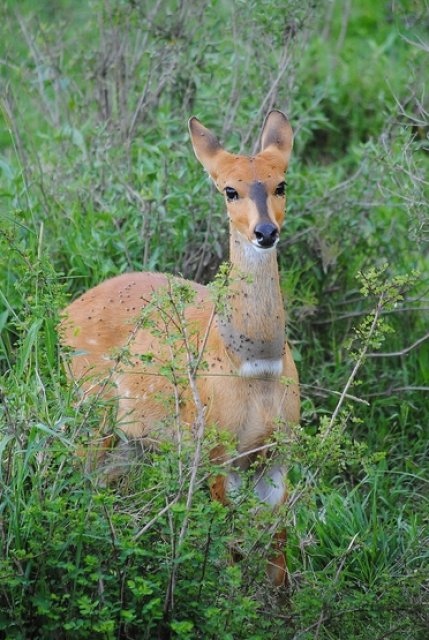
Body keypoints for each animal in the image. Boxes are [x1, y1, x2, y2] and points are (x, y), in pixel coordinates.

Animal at [60, 110, 300, 584]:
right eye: (230, 189)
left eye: (281, 183)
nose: (265, 232)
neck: (255, 365)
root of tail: (63, 315)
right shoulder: (215, 454)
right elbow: (229, 549)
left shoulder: (277, 454)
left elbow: (277, 559)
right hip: (92, 416)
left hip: (131, 440)